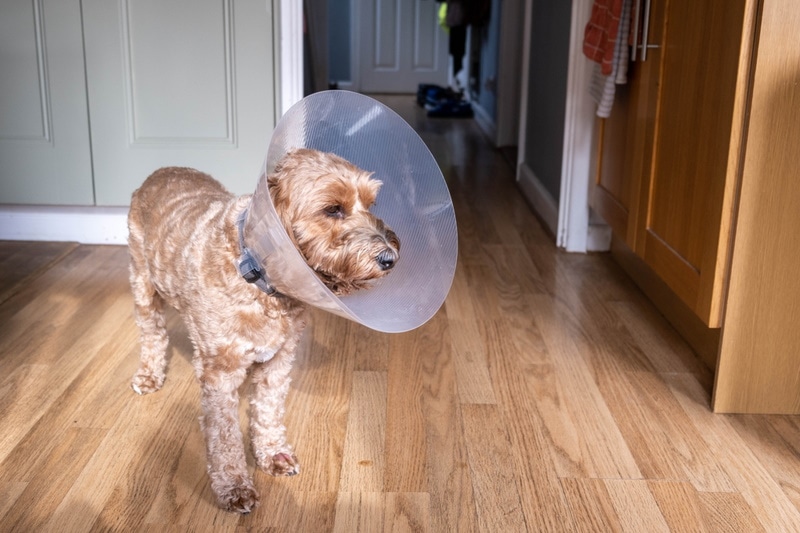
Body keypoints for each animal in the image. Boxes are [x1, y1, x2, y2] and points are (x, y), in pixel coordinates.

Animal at [126, 149, 400, 512]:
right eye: (332, 209)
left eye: (371, 204)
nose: (390, 258)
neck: (256, 276)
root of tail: (162, 170)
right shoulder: (220, 375)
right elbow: (224, 436)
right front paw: (234, 486)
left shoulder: (279, 361)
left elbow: (268, 411)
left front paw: (273, 454)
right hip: (142, 283)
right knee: (152, 334)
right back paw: (149, 374)